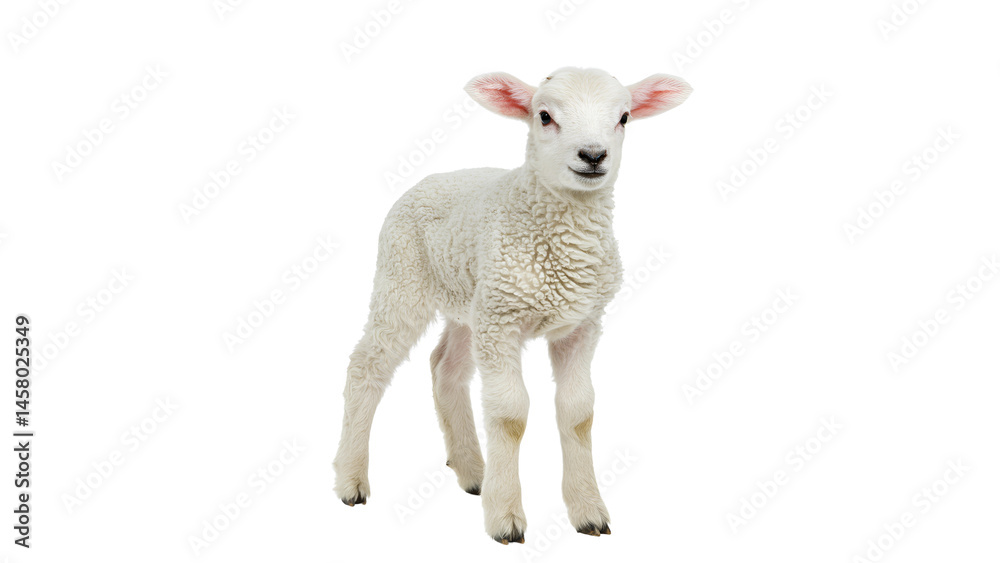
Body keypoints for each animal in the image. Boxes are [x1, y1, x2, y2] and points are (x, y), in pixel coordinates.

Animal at [334, 67, 692, 544]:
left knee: (445, 369)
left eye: (624, 117)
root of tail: (430, 179)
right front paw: (505, 517)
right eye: (544, 116)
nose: (593, 155)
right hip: (404, 279)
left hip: (471, 302)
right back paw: (351, 479)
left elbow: (578, 413)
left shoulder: (582, 324)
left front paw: (588, 511)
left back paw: (473, 473)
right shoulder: (502, 322)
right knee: (367, 365)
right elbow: (510, 416)